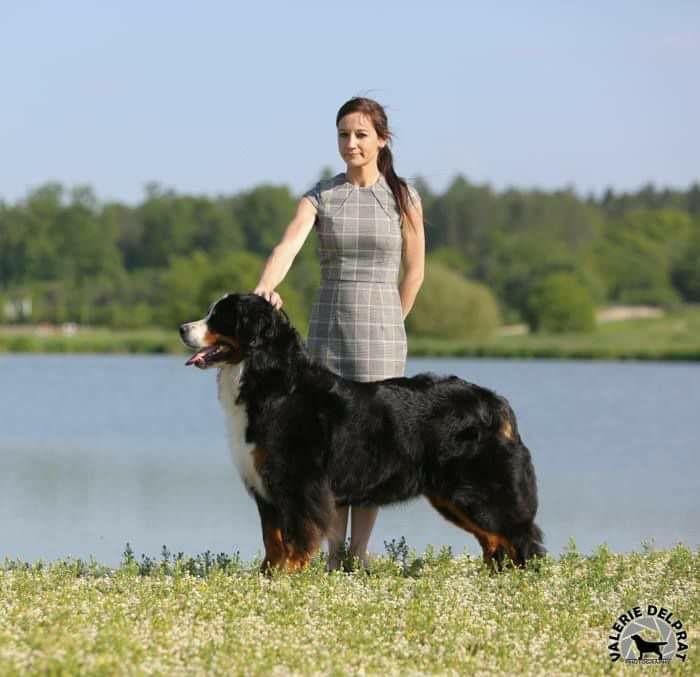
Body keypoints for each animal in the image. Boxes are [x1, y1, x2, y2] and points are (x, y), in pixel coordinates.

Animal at [178, 294, 544, 572]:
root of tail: (495, 402)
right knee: (495, 540)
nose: (182, 328)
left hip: (480, 490)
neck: (273, 383)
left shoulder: (298, 483)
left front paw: (289, 575)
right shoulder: (266, 485)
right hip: (453, 496)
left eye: (219, 317)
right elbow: (273, 539)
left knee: (521, 537)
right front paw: (267, 578)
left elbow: (296, 536)